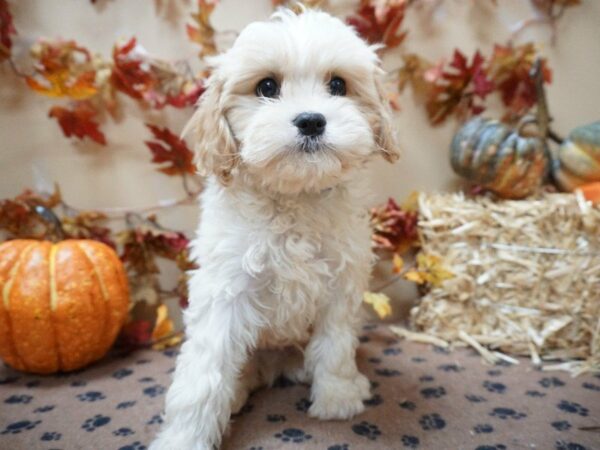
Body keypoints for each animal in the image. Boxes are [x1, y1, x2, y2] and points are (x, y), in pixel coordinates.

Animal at [151, 7, 398, 450]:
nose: (312, 121)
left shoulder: (341, 283)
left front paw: (337, 398)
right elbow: (204, 373)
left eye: (338, 85)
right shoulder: (225, 291)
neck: (294, 196)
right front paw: (184, 437)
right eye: (267, 86)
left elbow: (335, 344)